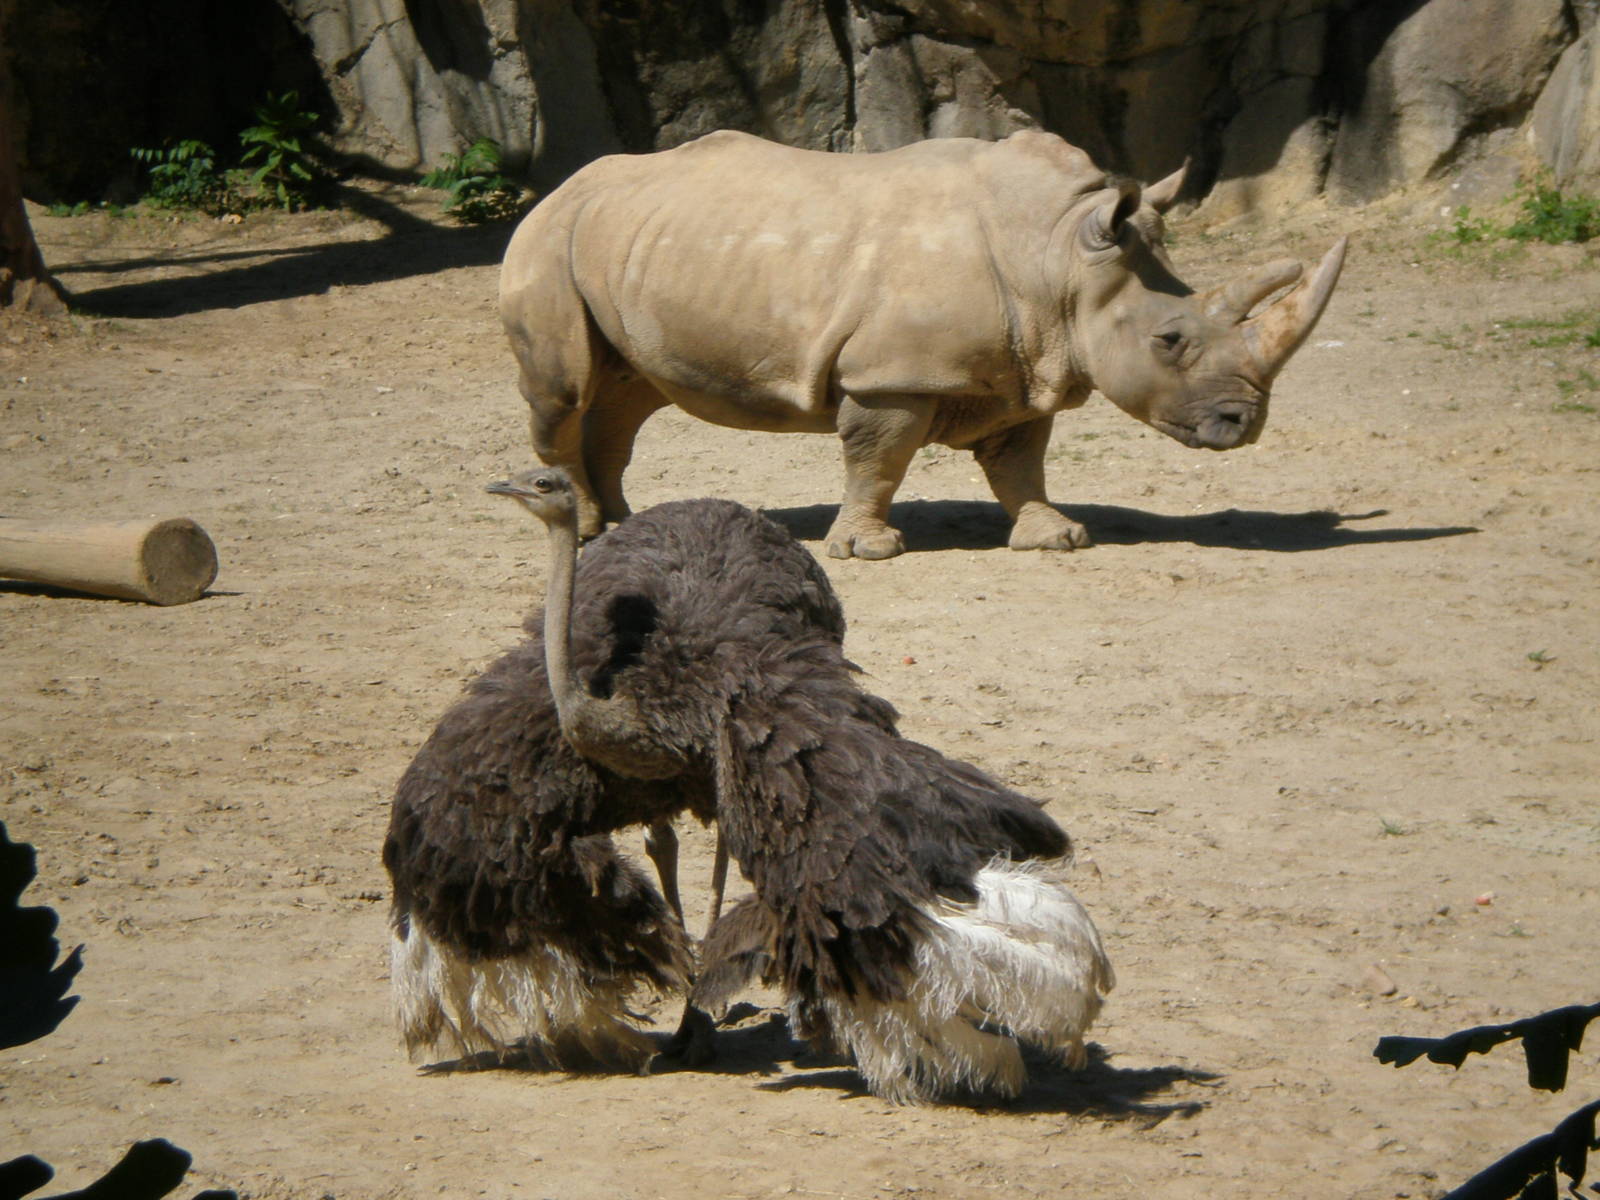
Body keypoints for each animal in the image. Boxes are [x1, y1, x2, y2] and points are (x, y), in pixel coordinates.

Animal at [499, 129, 1346, 559]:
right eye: (1170, 340)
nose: (1242, 425)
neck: (1059, 254)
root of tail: (559, 186)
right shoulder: (890, 373)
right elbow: (880, 457)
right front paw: (868, 551)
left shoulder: (1026, 361)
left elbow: (1021, 460)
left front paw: (1057, 538)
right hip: (548, 242)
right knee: (566, 392)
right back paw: (584, 529)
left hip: (628, 243)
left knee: (628, 394)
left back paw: (622, 523)